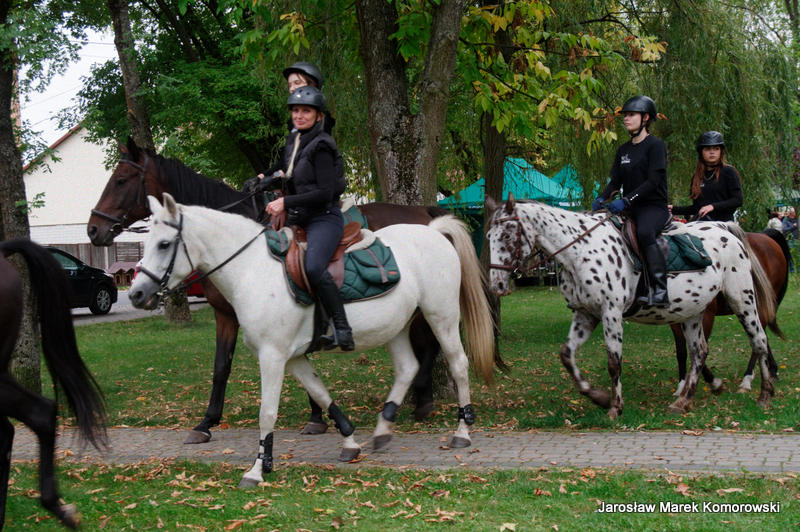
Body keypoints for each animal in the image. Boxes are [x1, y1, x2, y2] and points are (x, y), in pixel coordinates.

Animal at [87, 138, 498, 444]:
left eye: (121, 180)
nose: (93, 229)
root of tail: (429, 219)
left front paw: (315, 418)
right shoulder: (226, 315)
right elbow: (221, 367)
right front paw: (206, 423)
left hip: (434, 308)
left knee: (437, 350)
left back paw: (426, 405)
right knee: (423, 352)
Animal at [129, 194, 494, 487]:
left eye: (164, 244)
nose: (136, 294)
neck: (253, 269)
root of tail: (434, 230)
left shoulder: (273, 357)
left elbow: (267, 413)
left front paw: (258, 469)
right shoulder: (293, 358)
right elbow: (320, 394)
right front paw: (349, 442)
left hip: (441, 316)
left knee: (458, 364)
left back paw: (461, 432)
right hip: (396, 327)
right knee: (408, 368)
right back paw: (382, 430)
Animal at [485, 195, 776, 416]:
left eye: (508, 234)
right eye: (488, 235)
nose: (496, 285)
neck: (581, 251)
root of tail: (726, 230)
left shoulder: (611, 313)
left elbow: (614, 362)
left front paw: (615, 406)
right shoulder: (585, 314)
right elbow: (566, 355)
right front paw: (598, 397)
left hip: (742, 299)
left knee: (759, 340)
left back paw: (764, 394)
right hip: (693, 311)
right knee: (699, 352)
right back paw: (684, 400)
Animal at [671, 228, 789, 396]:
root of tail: (767, 237)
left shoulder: (706, 316)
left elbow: (700, 350)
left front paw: (712, 383)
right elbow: (681, 352)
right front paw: (681, 386)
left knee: (758, 340)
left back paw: (747, 379)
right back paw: (771, 370)